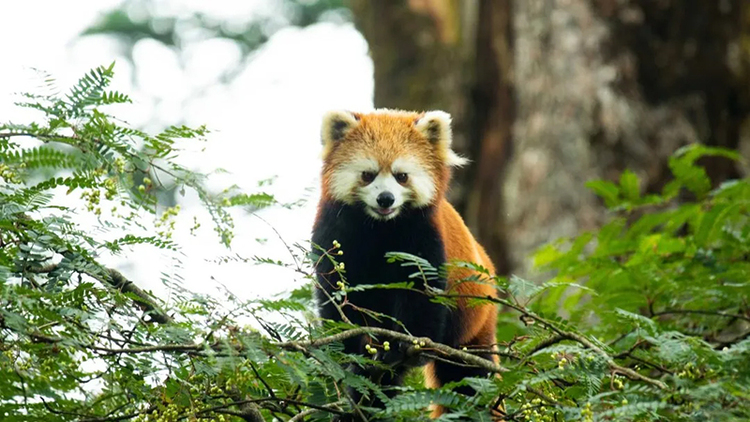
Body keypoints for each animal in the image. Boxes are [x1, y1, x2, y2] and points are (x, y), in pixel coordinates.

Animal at [312, 109, 500, 418]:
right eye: (368, 175)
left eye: (401, 177)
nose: (385, 198)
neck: (380, 228)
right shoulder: (335, 233)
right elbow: (335, 293)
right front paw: (350, 349)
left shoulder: (423, 237)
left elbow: (422, 294)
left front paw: (407, 343)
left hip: (473, 324)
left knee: (468, 378)